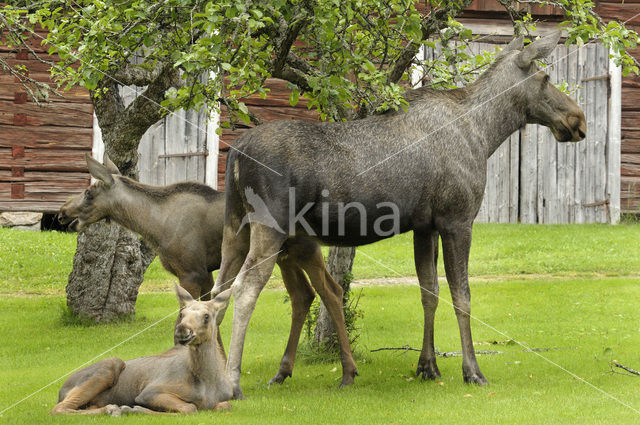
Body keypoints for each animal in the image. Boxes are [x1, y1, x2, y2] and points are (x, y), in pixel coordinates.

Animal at [214, 30, 584, 398]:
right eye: (545, 77)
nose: (577, 119)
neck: (486, 133)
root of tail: (237, 151)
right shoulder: (457, 219)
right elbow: (462, 296)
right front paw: (472, 371)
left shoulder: (424, 226)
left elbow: (429, 292)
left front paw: (427, 367)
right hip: (270, 227)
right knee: (244, 289)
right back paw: (233, 380)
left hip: (236, 227)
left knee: (219, 290)